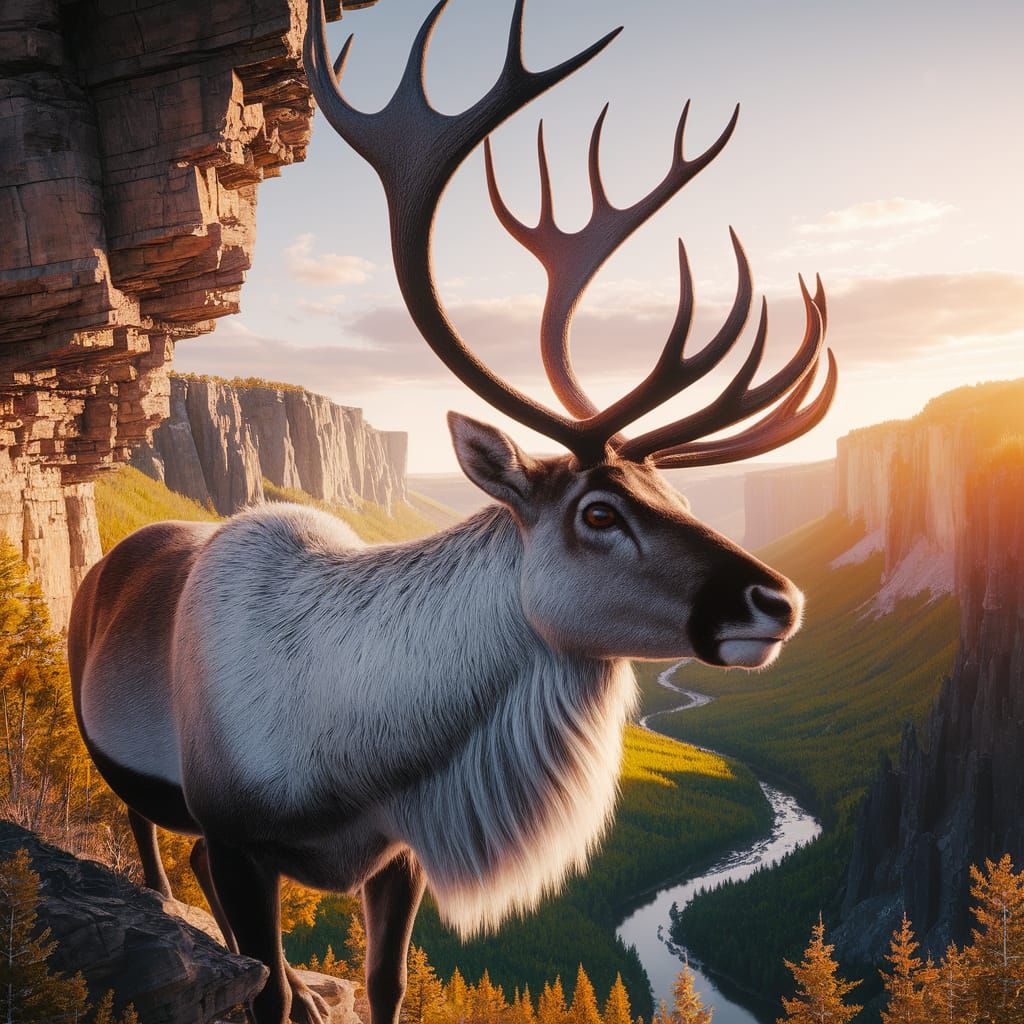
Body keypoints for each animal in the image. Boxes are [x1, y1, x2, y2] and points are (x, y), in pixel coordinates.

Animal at [67, 2, 837, 1022]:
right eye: (599, 512)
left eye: (673, 493)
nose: (777, 600)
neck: (362, 755)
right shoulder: (236, 838)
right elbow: (265, 985)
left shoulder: (398, 856)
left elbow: (386, 985)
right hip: (131, 776)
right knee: (156, 854)